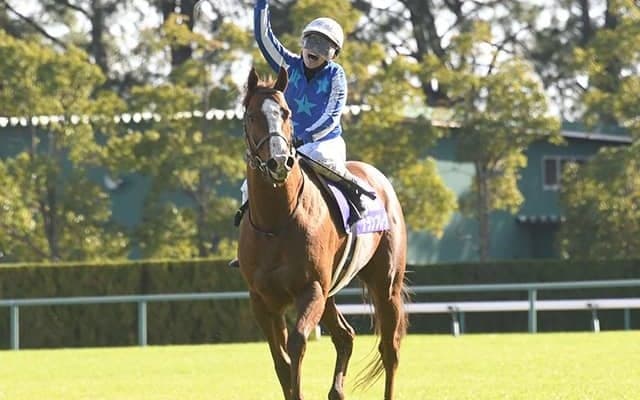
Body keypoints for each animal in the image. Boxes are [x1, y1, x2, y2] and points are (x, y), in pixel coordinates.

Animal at [237, 66, 408, 400]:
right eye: (251, 116)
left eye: (286, 113)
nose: (280, 162)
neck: (276, 221)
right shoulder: (262, 299)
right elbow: (281, 361)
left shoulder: (311, 288)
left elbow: (297, 345)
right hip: (331, 292)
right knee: (346, 336)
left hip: (386, 285)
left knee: (390, 350)